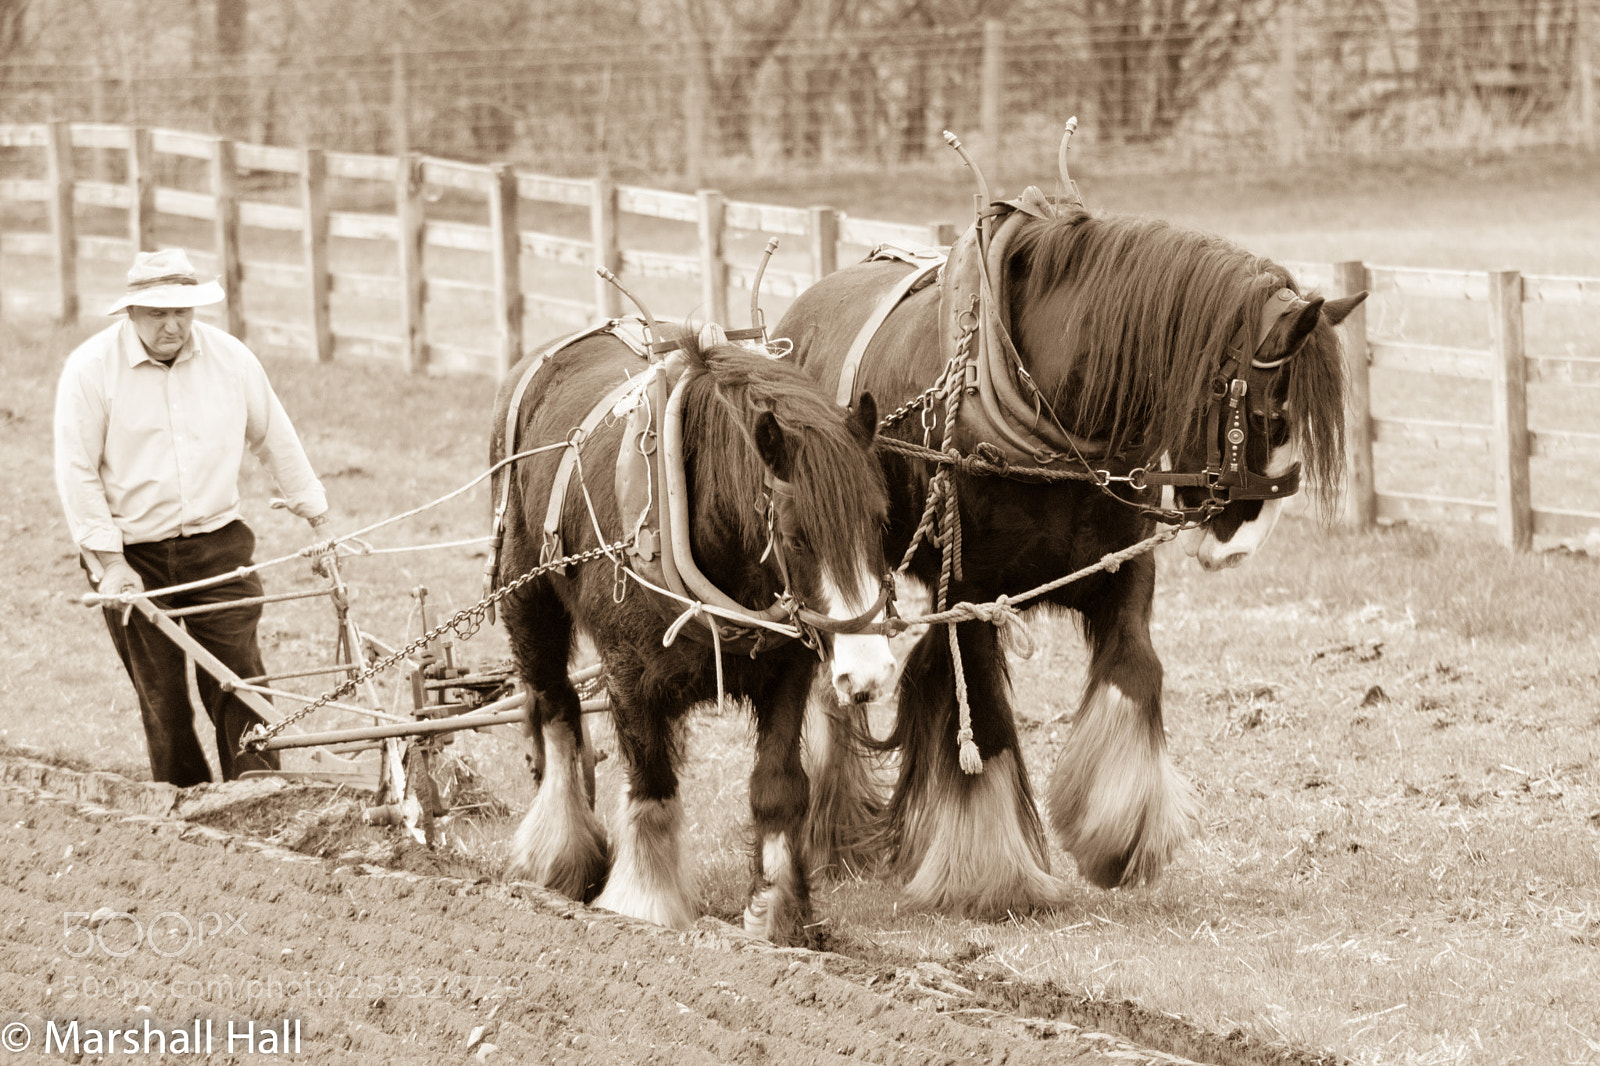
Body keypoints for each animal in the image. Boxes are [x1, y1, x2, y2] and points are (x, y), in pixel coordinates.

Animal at [489, 322, 897, 945]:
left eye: (879, 521)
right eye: (796, 536)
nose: (869, 672)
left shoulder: (790, 670)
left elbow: (778, 786)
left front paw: (776, 911)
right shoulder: (628, 675)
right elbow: (652, 785)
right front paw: (645, 903)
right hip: (526, 601)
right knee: (555, 707)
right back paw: (558, 853)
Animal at [775, 188, 1366, 916]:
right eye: (1266, 416)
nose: (1243, 543)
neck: (1051, 415)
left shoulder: (1123, 574)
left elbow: (1138, 673)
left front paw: (1117, 833)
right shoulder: (970, 596)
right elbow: (983, 716)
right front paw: (991, 874)